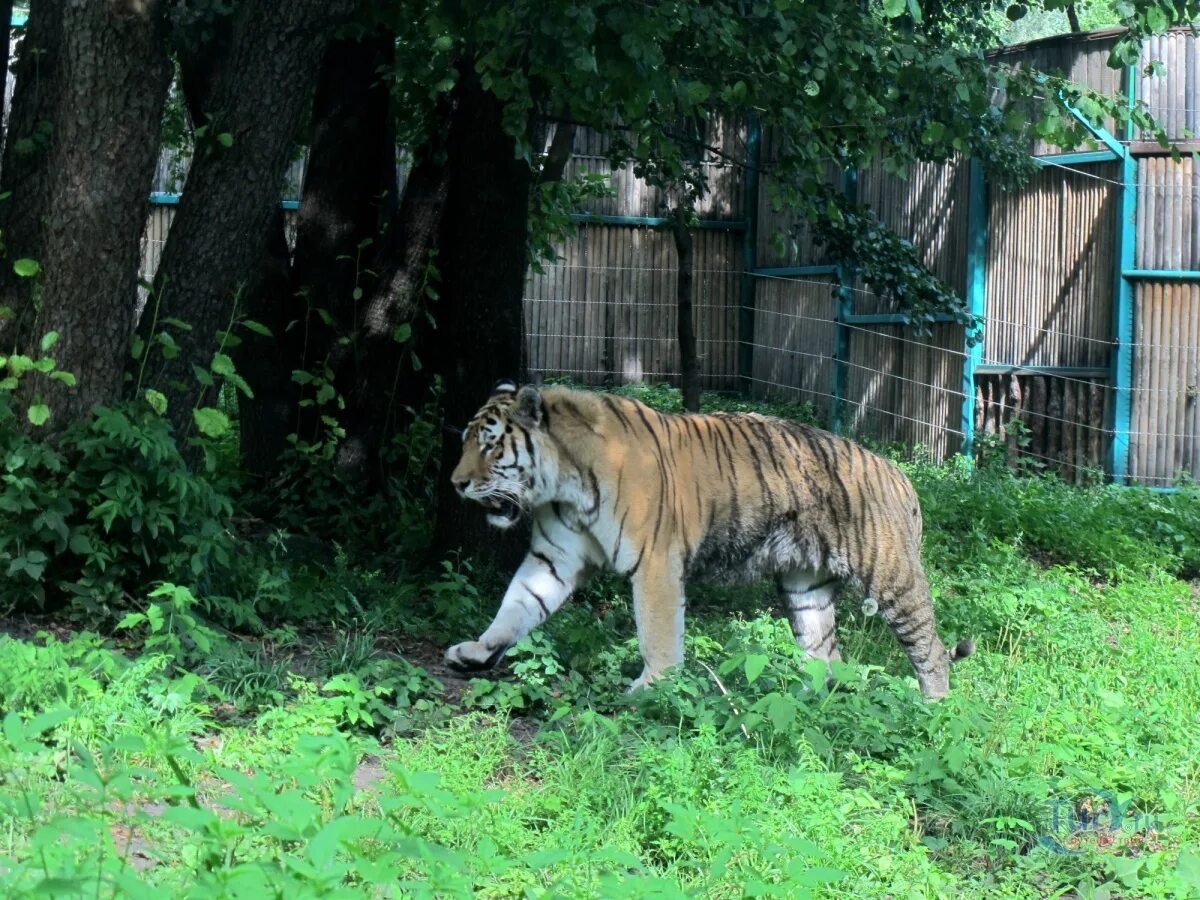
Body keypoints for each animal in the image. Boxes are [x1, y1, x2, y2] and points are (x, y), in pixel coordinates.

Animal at [446, 381, 969, 705]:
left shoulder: (654, 564)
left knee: (930, 647)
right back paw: (799, 701)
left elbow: (656, 633)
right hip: (806, 587)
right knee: (825, 655)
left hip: (892, 578)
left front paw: (651, 690)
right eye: (467, 441)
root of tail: (899, 474)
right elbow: (516, 606)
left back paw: (932, 712)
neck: (564, 487)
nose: (456, 484)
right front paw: (476, 651)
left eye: (490, 445)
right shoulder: (552, 557)